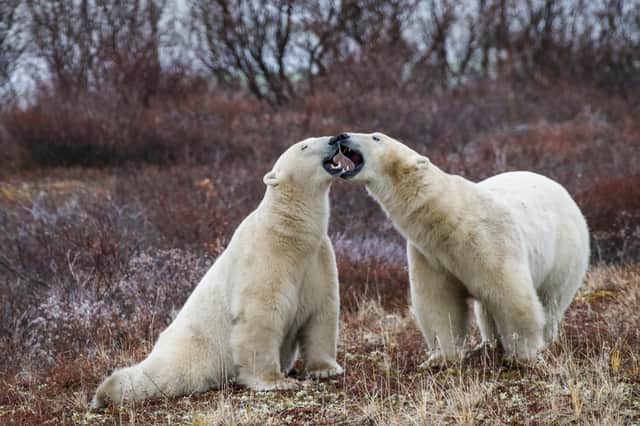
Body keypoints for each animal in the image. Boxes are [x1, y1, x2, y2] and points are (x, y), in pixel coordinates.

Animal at [91, 136, 345, 409]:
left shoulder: (317, 259)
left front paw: (326, 369)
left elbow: (322, 312)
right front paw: (275, 381)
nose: (334, 139)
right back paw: (107, 391)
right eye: (305, 146)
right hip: (195, 349)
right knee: (164, 375)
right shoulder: (265, 257)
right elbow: (260, 316)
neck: (289, 233)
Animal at [325, 132, 590, 365]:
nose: (341, 136)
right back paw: (488, 343)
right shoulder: (430, 254)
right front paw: (440, 358)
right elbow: (439, 302)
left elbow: (512, 295)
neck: (448, 215)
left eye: (376, 137)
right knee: (486, 311)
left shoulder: (489, 239)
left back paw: (544, 339)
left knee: (551, 298)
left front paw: (523, 355)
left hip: (566, 252)